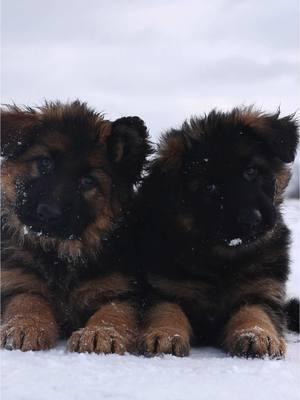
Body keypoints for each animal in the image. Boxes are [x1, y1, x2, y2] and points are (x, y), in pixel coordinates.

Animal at [0, 101, 152, 354]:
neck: (59, 253)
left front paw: (100, 333)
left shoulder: (123, 290)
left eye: (88, 181)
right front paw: (25, 327)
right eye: (45, 163)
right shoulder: (17, 280)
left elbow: (114, 311)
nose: (48, 213)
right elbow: (27, 301)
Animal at [135, 107, 298, 360]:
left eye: (251, 171)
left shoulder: (262, 289)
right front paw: (164, 335)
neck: (223, 258)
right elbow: (166, 310)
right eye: (210, 188)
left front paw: (258, 336)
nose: (252, 219)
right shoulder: (163, 288)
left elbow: (255, 312)